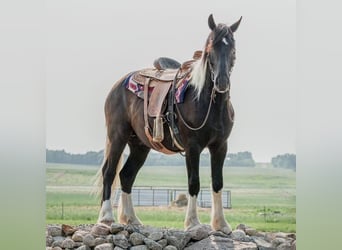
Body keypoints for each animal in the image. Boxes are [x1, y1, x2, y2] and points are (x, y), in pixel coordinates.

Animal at [95, 14, 242, 234]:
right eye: (210, 51)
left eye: (233, 50)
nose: (222, 82)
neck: (206, 102)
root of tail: (118, 85)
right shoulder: (192, 147)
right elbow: (194, 182)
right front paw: (193, 223)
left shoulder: (220, 146)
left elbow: (217, 182)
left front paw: (221, 224)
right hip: (117, 137)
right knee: (109, 172)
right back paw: (106, 218)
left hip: (139, 145)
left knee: (126, 175)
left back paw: (131, 219)